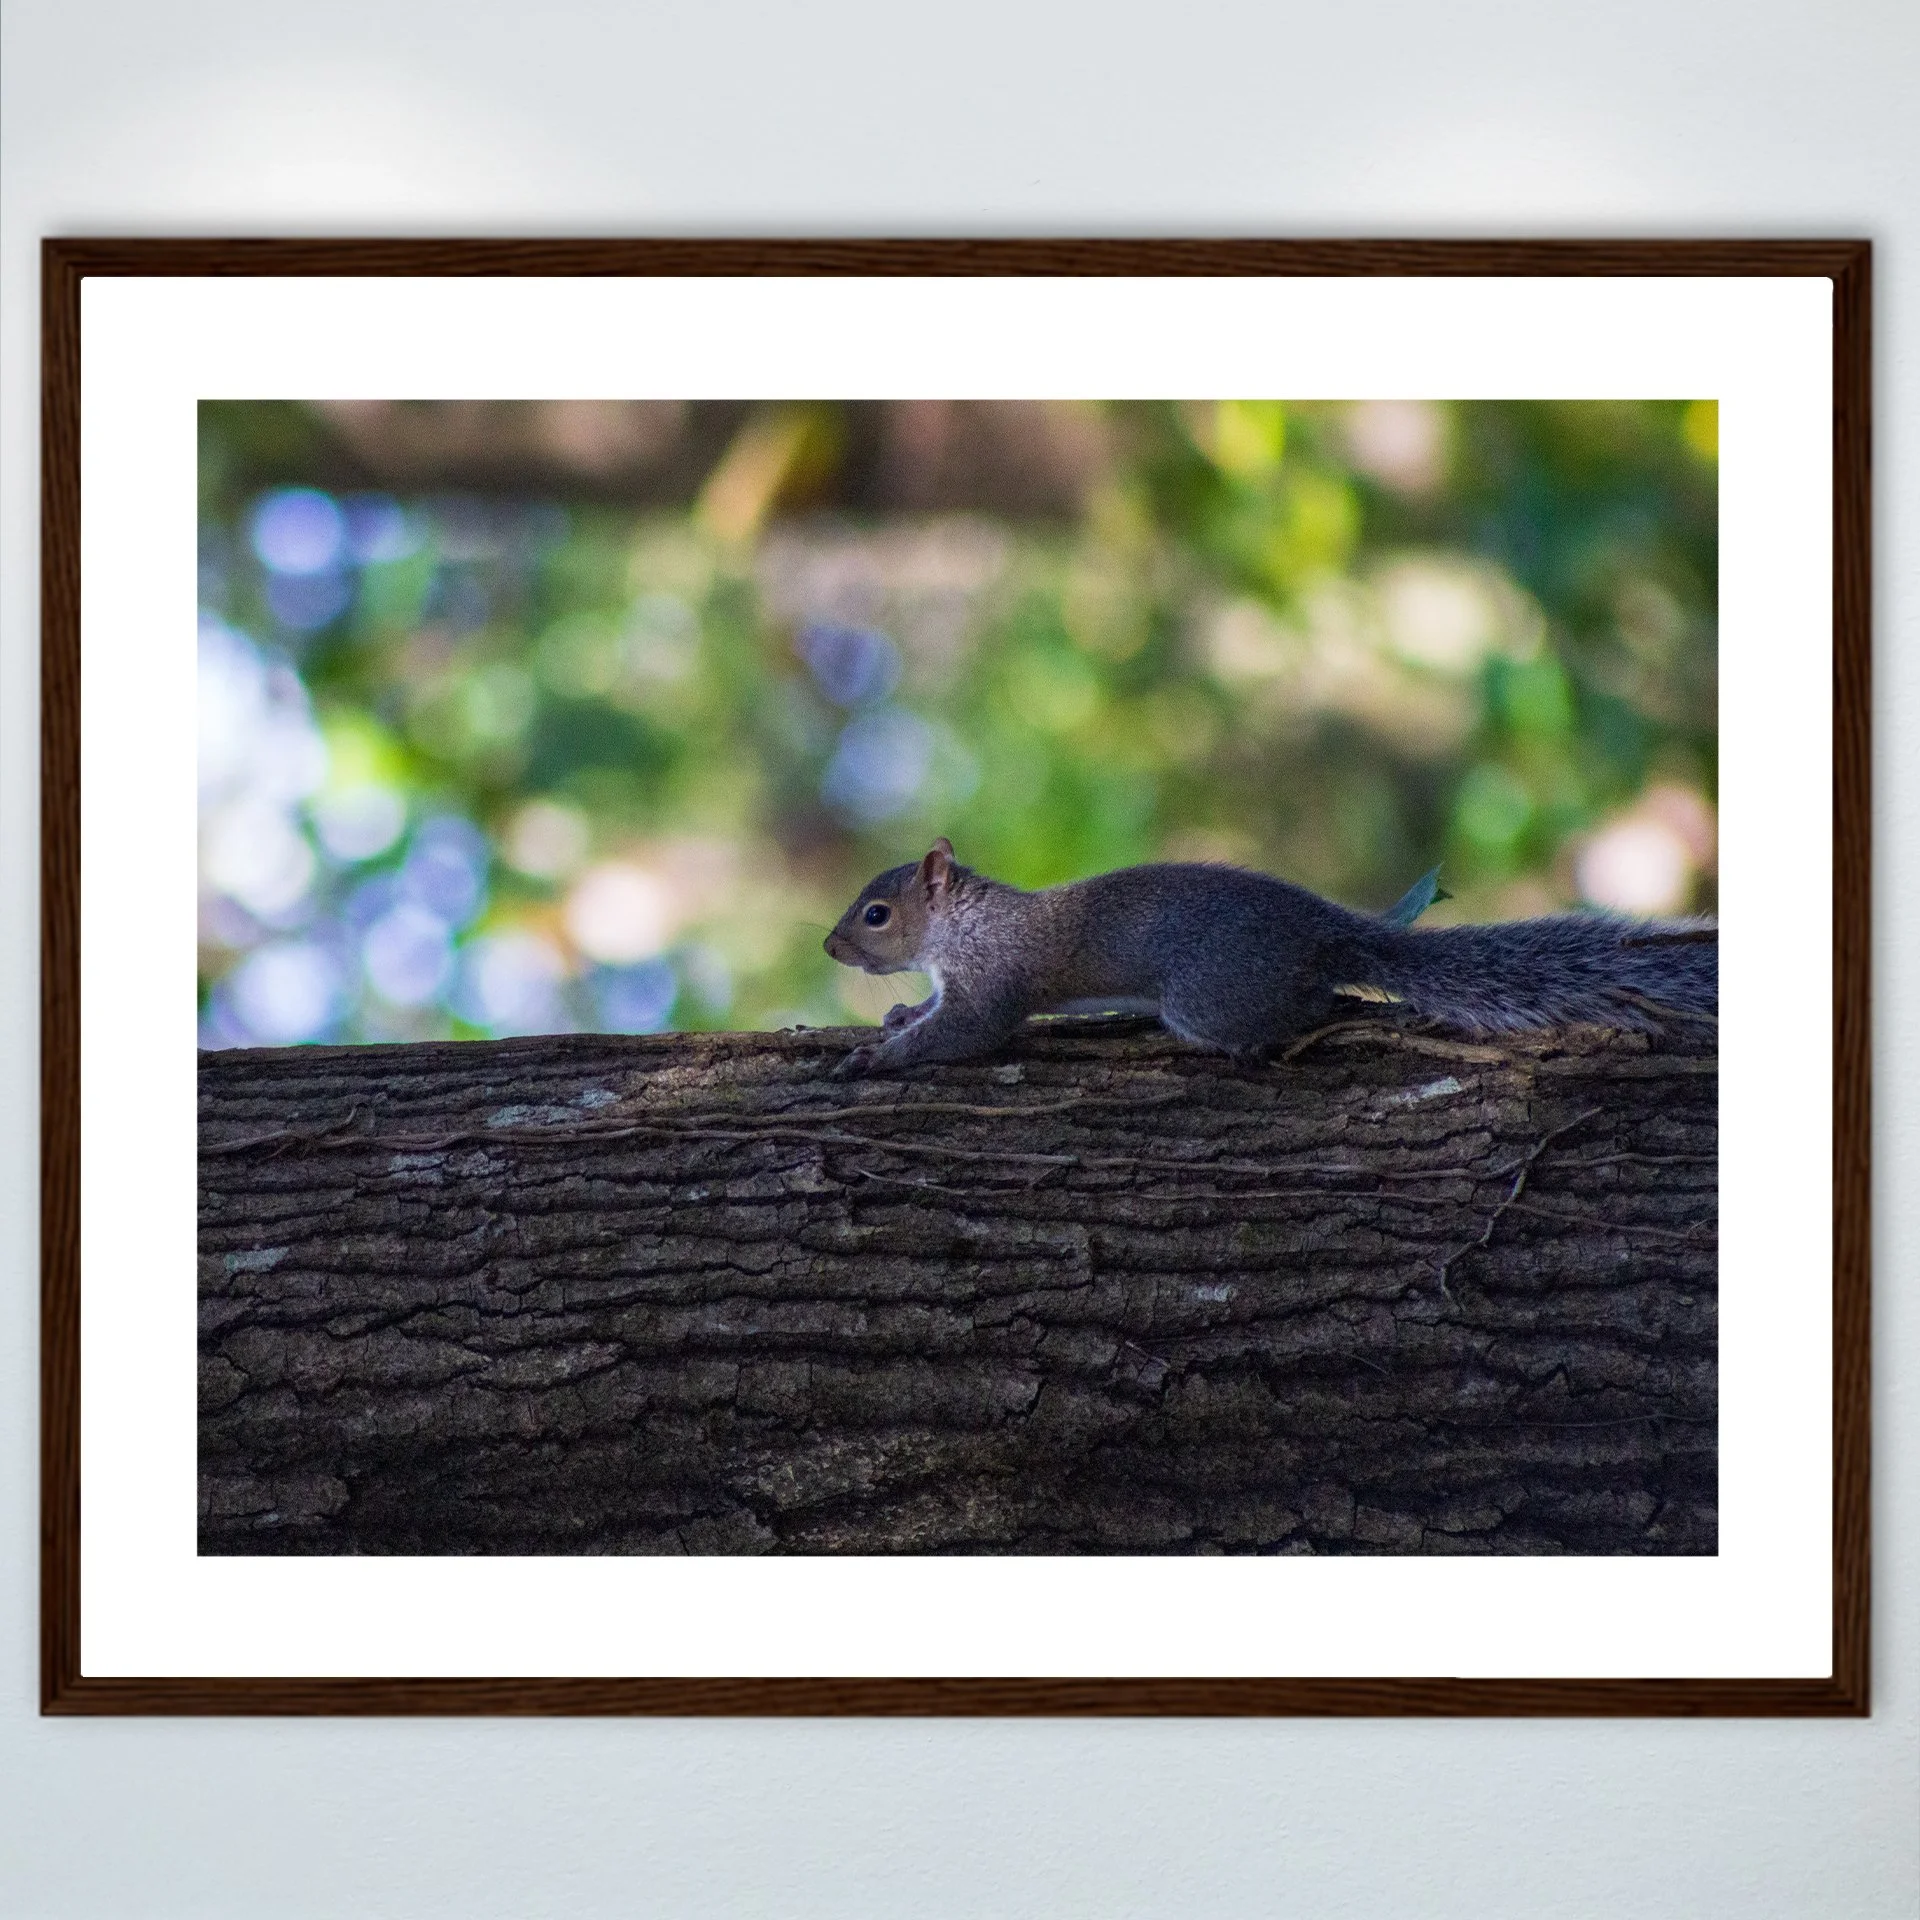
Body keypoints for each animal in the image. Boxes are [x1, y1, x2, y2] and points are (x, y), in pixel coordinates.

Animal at [822, 838, 1715, 1078]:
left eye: (877, 914)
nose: (829, 945)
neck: (959, 928)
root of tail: (1329, 932)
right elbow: (934, 1011)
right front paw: (899, 1014)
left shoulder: (995, 981)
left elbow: (967, 1032)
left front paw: (879, 1056)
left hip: (1208, 998)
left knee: (1311, 1009)